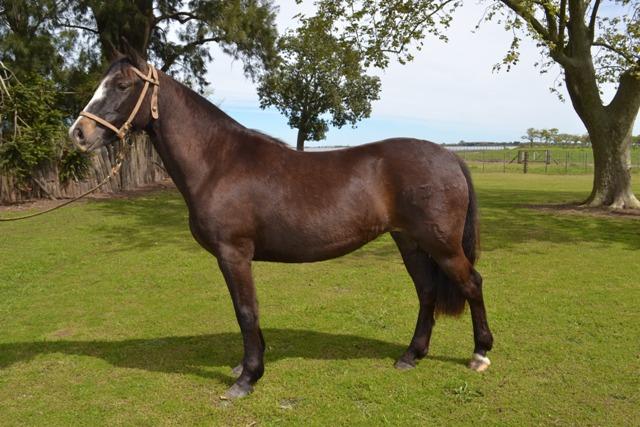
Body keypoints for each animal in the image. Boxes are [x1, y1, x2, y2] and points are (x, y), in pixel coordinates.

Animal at [68, 45, 493, 399]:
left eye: (122, 85)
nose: (79, 133)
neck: (219, 162)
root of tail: (450, 156)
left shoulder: (233, 254)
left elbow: (245, 310)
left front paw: (246, 379)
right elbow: (247, 311)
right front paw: (247, 365)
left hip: (440, 244)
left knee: (471, 283)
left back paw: (479, 354)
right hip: (410, 242)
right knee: (427, 291)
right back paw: (411, 355)